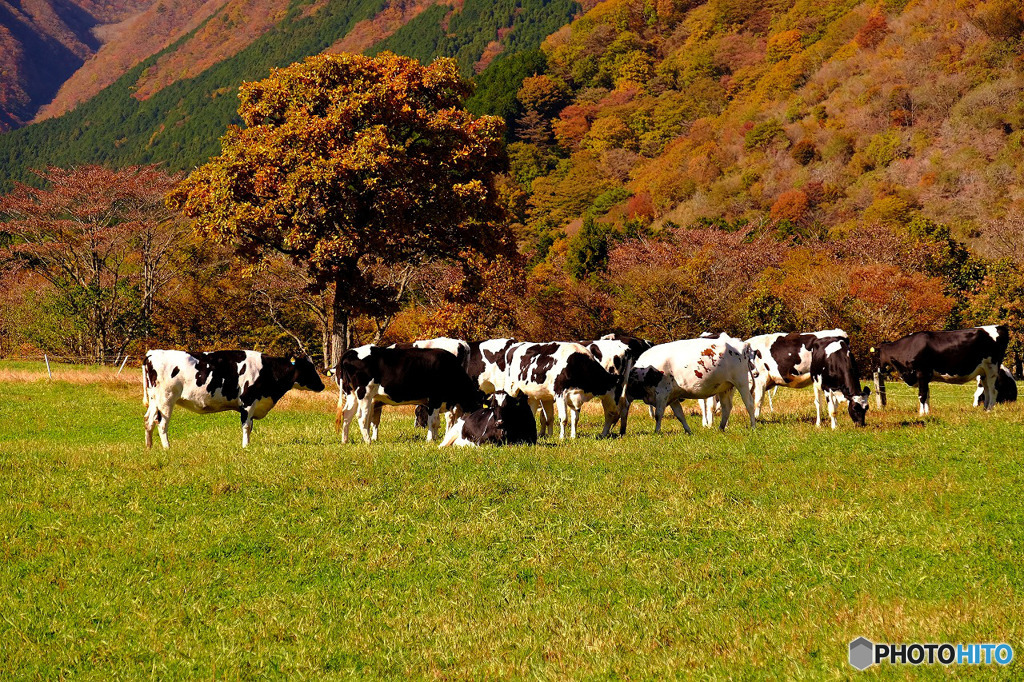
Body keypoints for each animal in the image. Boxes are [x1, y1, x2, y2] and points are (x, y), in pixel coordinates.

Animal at [141, 348, 323, 448]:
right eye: (309, 369)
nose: (322, 385)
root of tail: (152, 353)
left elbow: (250, 426)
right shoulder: (248, 402)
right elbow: (246, 426)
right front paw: (245, 446)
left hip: (154, 400)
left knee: (148, 420)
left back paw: (149, 447)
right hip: (166, 400)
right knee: (161, 423)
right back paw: (167, 448)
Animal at [331, 342, 483, 444]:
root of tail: (351, 351)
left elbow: (437, 421)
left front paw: (434, 437)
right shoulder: (435, 398)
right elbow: (433, 421)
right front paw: (430, 440)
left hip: (351, 394)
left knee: (347, 414)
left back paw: (345, 440)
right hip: (365, 393)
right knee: (362, 416)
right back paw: (368, 441)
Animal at [618, 333, 757, 436]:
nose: (621, 432)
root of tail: (742, 344)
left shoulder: (662, 393)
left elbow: (658, 414)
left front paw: (657, 432)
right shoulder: (672, 396)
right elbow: (680, 415)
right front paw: (688, 431)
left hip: (741, 381)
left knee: (749, 404)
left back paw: (753, 426)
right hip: (725, 386)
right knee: (726, 406)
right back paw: (721, 428)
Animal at [876, 325, 1011, 413]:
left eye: (875, 355)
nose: (877, 370)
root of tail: (999, 326)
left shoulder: (922, 373)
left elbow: (922, 395)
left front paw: (921, 414)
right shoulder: (925, 377)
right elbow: (927, 395)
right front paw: (927, 413)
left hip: (992, 369)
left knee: (993, 391)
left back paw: (989, 410)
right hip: (983, 373)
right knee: (986, 390)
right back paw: (984, 409)